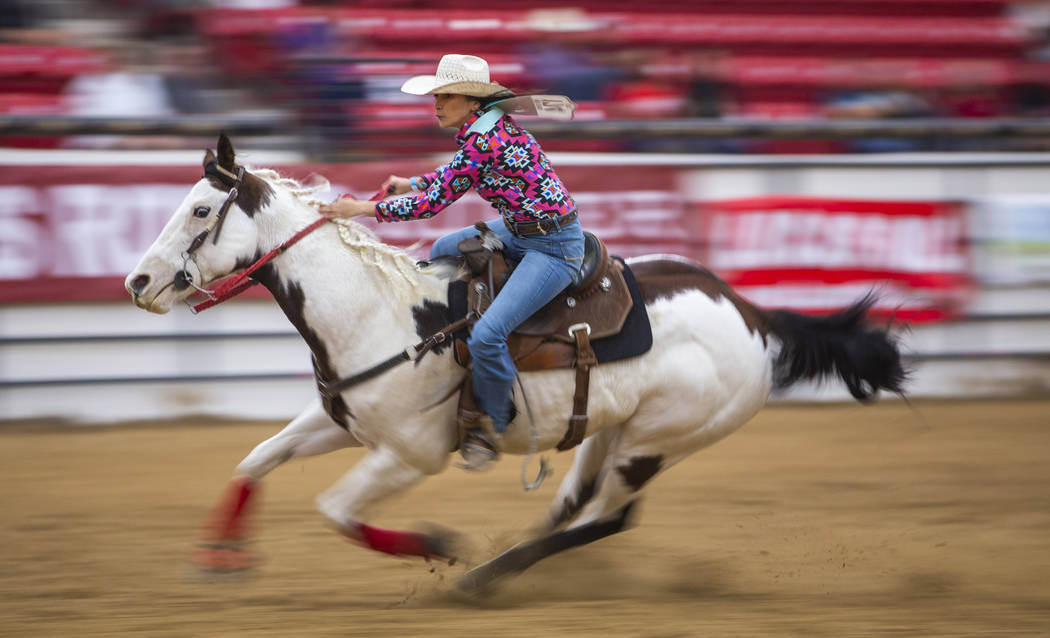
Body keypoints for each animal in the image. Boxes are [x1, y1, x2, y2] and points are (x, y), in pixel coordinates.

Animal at [127, 135, 907, 591]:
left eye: (201, 211)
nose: (138, 281)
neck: (379, 315)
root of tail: (752, 315)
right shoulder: (340, 422)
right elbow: (255, 461)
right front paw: (220, 556)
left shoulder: (409, 455)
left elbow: (337, 512)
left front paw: (438, 544)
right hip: (609, 430)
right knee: (574, 505)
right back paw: (509, 561)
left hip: (660, 440)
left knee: (609, 519)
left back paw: (487, 577)